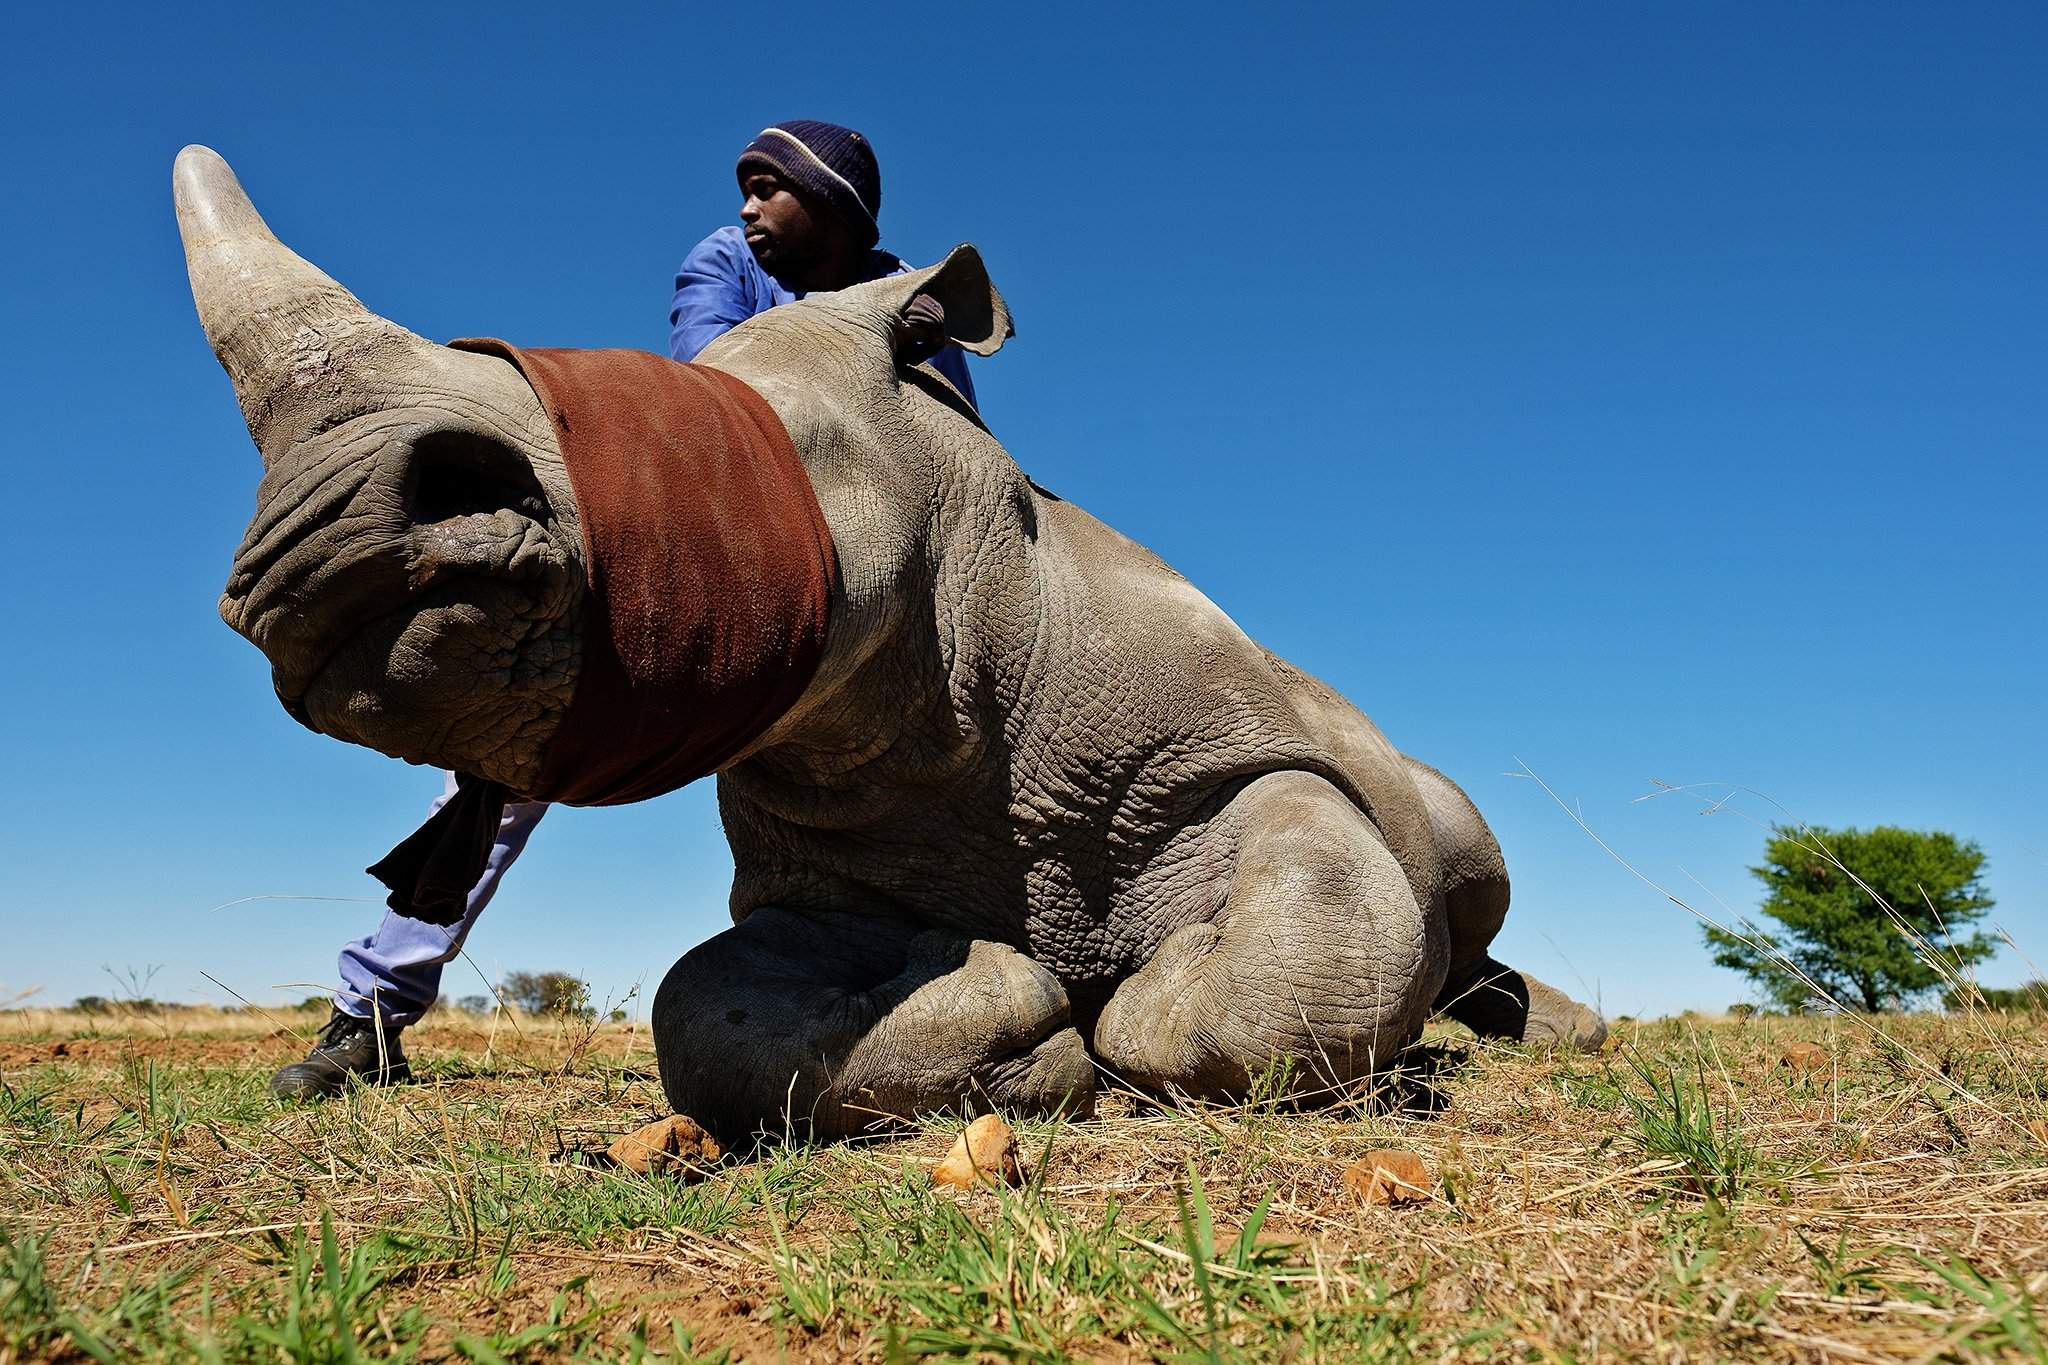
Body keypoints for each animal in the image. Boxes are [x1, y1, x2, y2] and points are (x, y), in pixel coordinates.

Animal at [176, 147, 1605, 1146]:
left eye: (748, 453)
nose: (319, 556)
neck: (964, 634)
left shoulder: (1249, 753)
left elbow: (1291, 949)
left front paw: (1118, 1018)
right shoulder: (823, 859)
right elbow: (706, 1014)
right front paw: (1012, 1018)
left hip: (1400, 767)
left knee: (1455, 854)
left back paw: (1534, 1031)